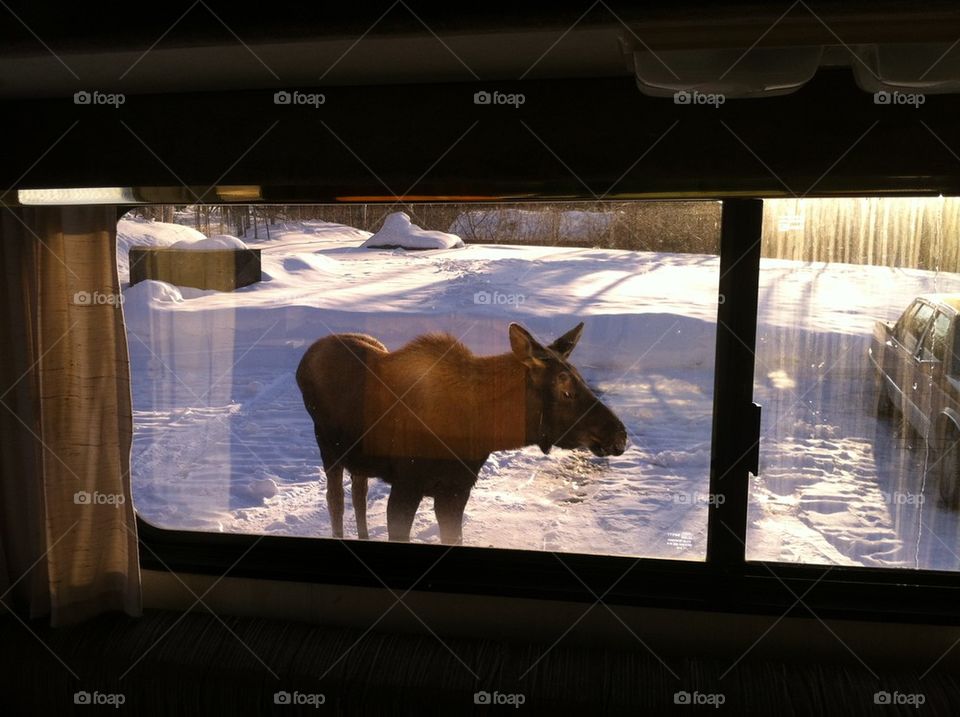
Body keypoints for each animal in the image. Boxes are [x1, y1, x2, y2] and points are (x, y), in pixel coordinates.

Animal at [296, 322, 627, 544]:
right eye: (566, 391)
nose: (620, 435)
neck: (479, 432)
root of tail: (306, 357)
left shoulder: (457, 489)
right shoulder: (406, 485)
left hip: (358, 457)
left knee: (359, 494)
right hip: (327, 447)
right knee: (336, 501)